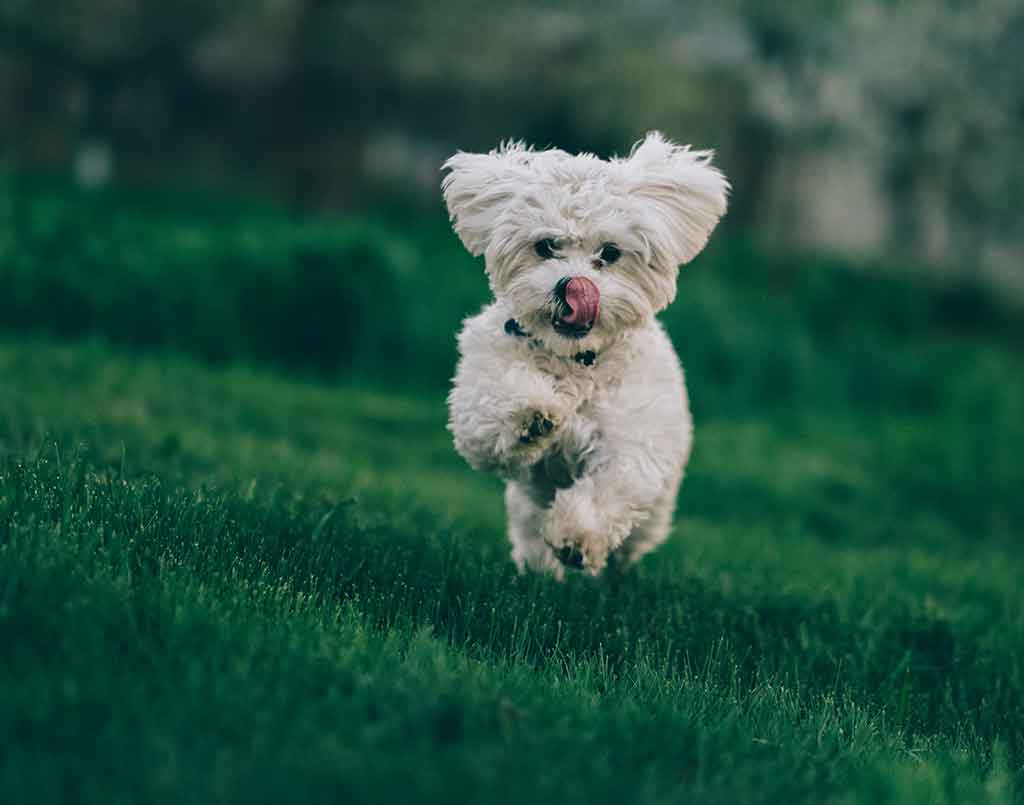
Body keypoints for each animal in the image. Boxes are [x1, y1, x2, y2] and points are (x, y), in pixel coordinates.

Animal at [444, 132, 724, 573]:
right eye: (545, 246)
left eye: (610, 253)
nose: (572, 286)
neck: (575, 360)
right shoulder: (478, 397)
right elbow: (493, 409)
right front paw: (533, 415)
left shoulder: (632, 441)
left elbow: (610, 487)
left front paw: (577, 536)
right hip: (525, 507)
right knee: (531, 535)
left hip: (653, 514)